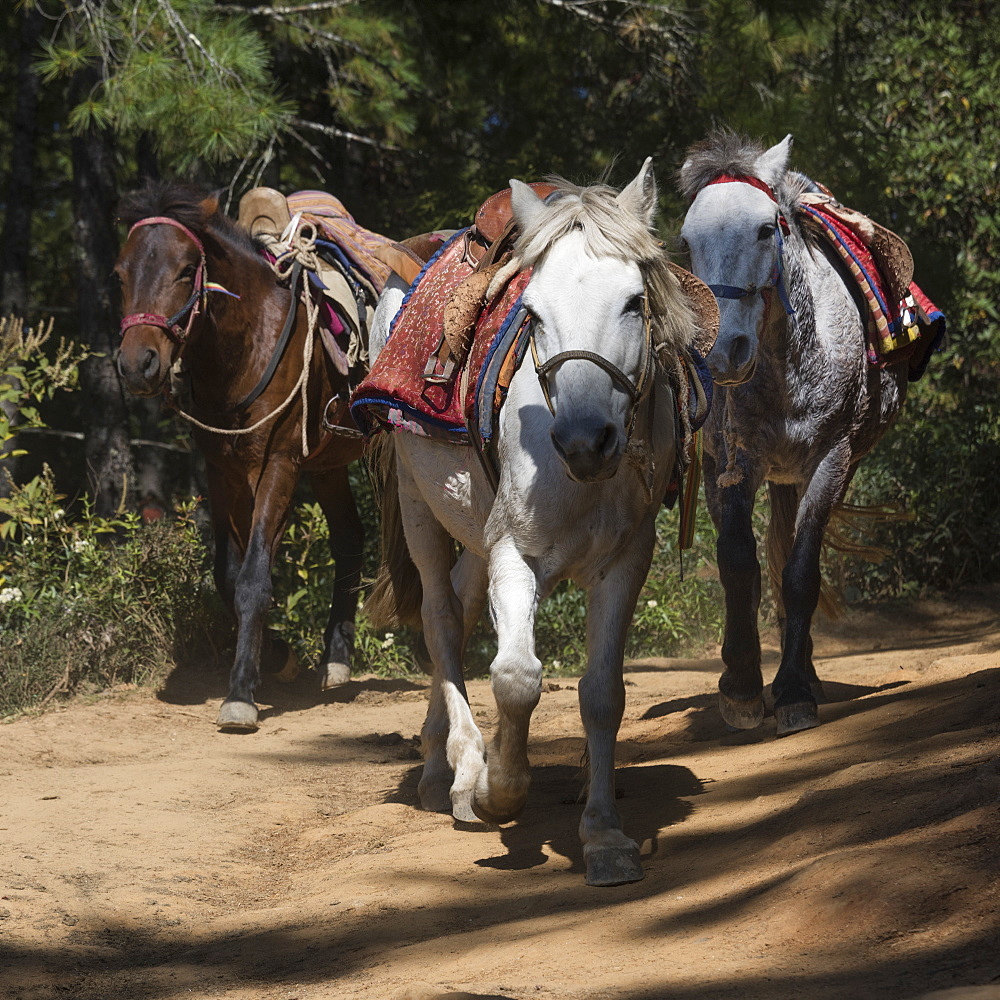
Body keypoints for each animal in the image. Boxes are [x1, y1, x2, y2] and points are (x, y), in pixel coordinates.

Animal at [114, 184, 372, 732]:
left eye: (185, 271)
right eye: (120, 275)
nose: (137, 364)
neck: (246, 342)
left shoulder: (278, 466)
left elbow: (254, 578)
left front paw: (240, 695)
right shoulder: (223, 473)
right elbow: (228, 579)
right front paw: (278, 657)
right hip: (329, 466)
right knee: (349, 538)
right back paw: (336, 659)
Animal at [364, 164, 700, 892]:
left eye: (635, 301)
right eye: (534, 312)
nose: (584, 440)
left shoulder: (624, 564)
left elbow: (602, 694)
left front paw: (603, 836)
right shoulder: (515, 555)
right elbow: (517, 677)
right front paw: (499, 791)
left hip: (471, 530)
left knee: (460, 612)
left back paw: (442, 759)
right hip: (417, 505)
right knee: (440, 622)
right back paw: (457, 770)